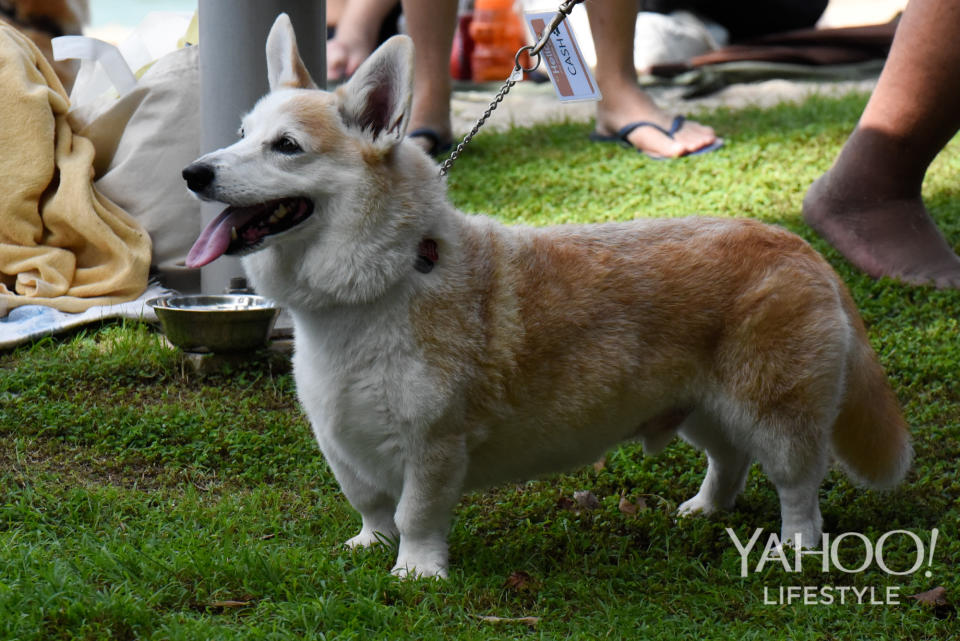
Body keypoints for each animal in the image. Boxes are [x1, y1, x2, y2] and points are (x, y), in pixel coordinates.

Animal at [184, 15, 912, 576]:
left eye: (286, 147)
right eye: (241, 134)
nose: (193, 173)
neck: (374, 286)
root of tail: (800, 249)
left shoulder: (434, 443)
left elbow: (415, 513)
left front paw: (415, 572)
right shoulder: (343, 443)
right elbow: (369, 505)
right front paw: (369, 546)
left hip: (777, 412)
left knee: (800, 487)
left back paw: (797, 548)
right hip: (702, 403)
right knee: (728, 459)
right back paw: (704, 509)